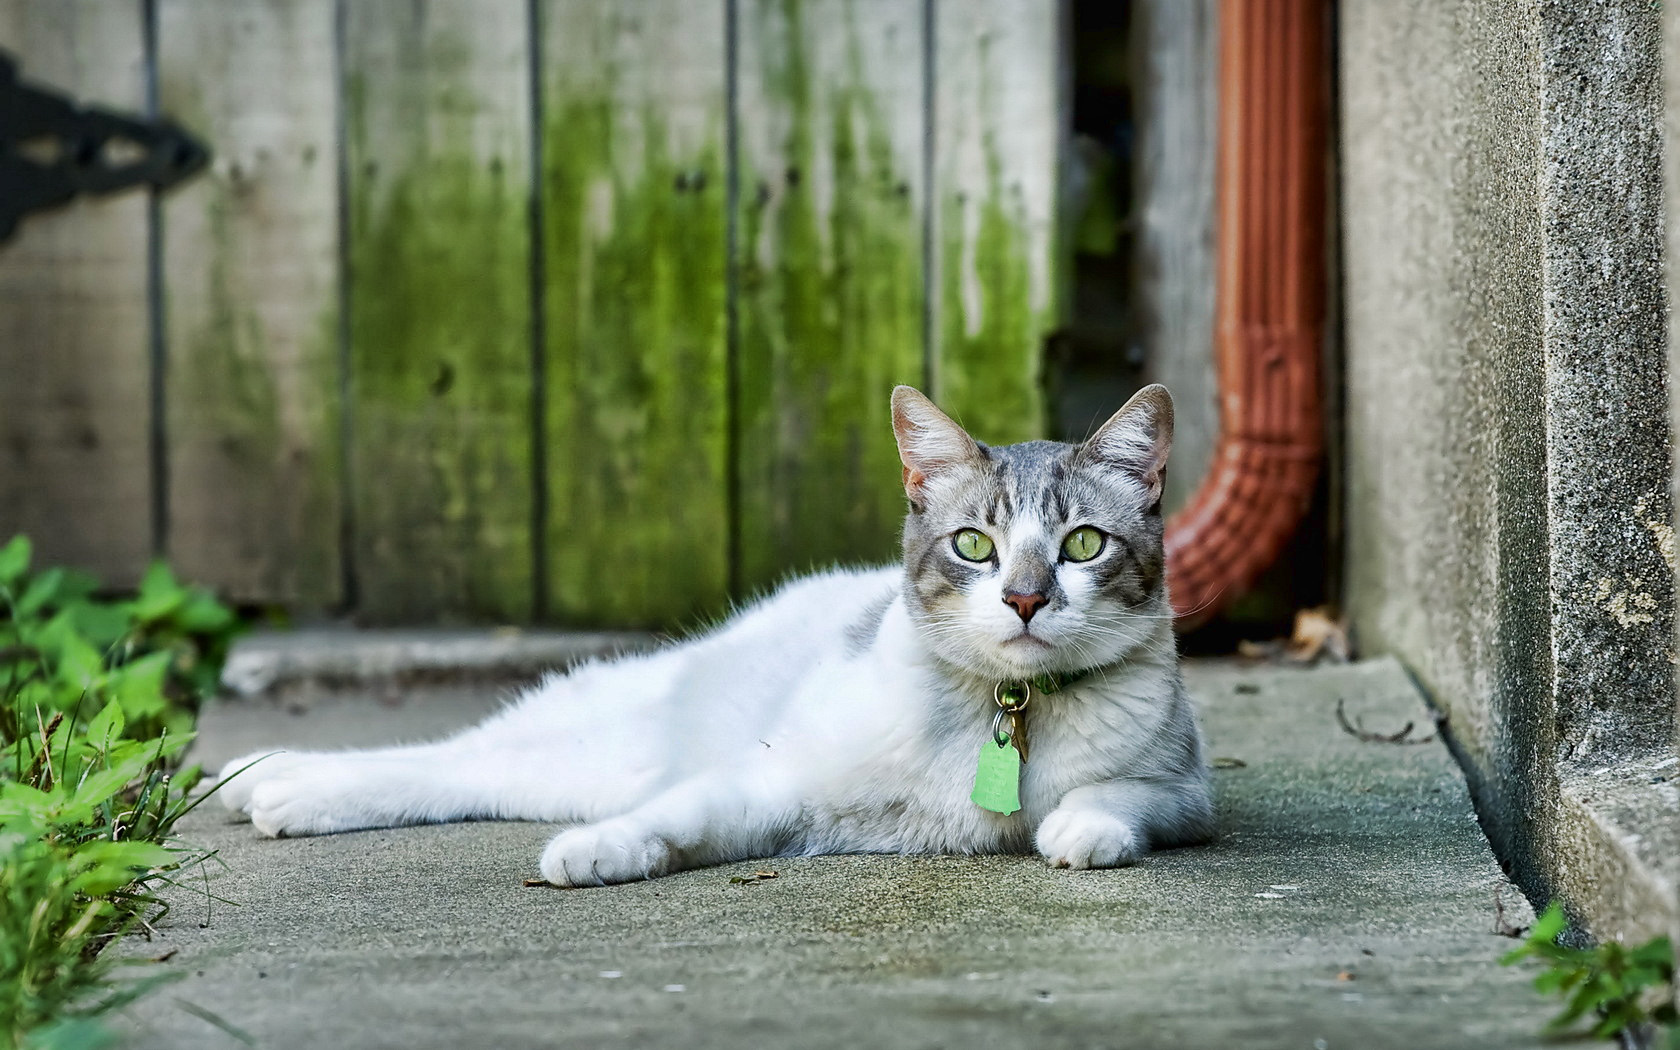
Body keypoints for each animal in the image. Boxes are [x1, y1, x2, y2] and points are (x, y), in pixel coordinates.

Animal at [220, 384, 1209, 887]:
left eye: (1081, 545)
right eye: (976, 546)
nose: (1026, 599)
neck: (1002, 713)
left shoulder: (1186, 794)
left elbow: (1123, 800)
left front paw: (1082, 826)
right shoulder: (774, 780)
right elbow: (676, 819)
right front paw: (595, 854)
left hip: (585, 766)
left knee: (466, 777)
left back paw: (271, 787)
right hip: (604, 736)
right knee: (452, 754)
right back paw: (267, 779)